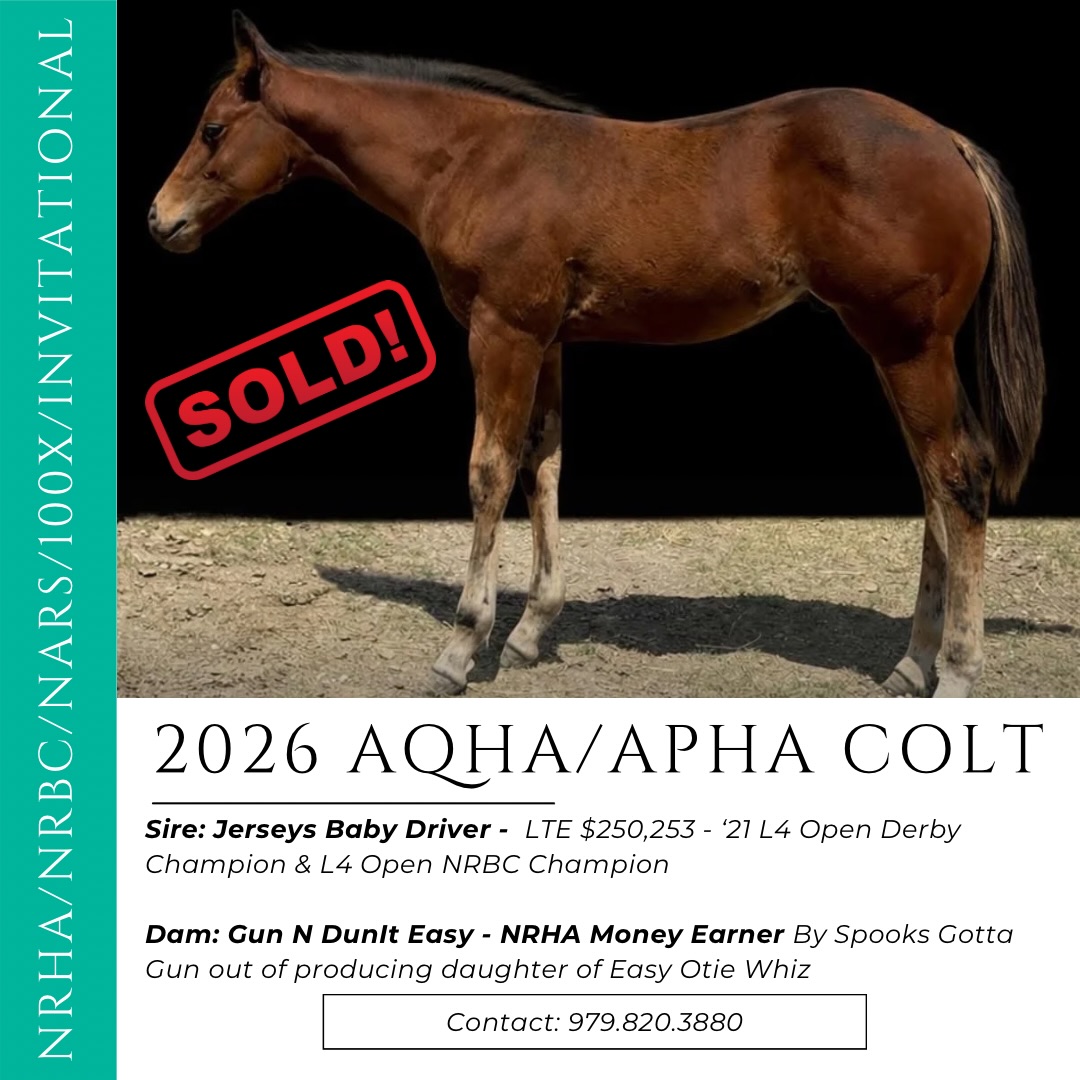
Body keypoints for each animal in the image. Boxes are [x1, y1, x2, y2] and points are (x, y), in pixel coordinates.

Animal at [150, 12, 1045, 698]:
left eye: (213, 129)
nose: (162, 220)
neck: (475, 159)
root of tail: (949, 142)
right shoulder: (544, 341)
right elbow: (541, 465)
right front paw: (530, 631)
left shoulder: (501, 332)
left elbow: (488, 472)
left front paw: (461, 646)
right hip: (896, 350)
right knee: (934, 486)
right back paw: (911, 664)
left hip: (907, 344)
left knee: (958, 480)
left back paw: (956, 672)